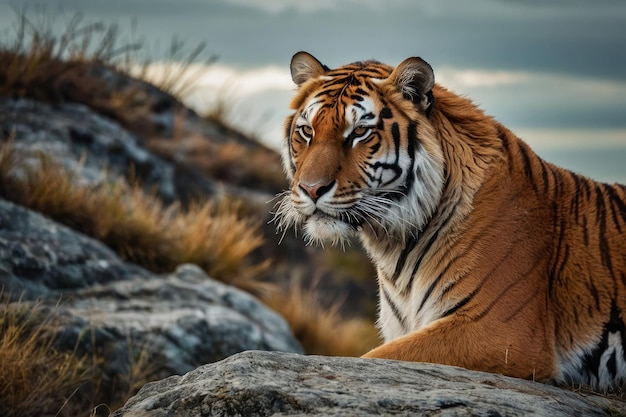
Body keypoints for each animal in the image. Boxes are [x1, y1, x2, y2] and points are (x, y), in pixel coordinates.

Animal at [276, 50, 624, 388]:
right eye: (307, 131)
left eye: (360, 132)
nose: (311, 189)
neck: (394, 246)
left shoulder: (501, 333)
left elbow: (373, 357)